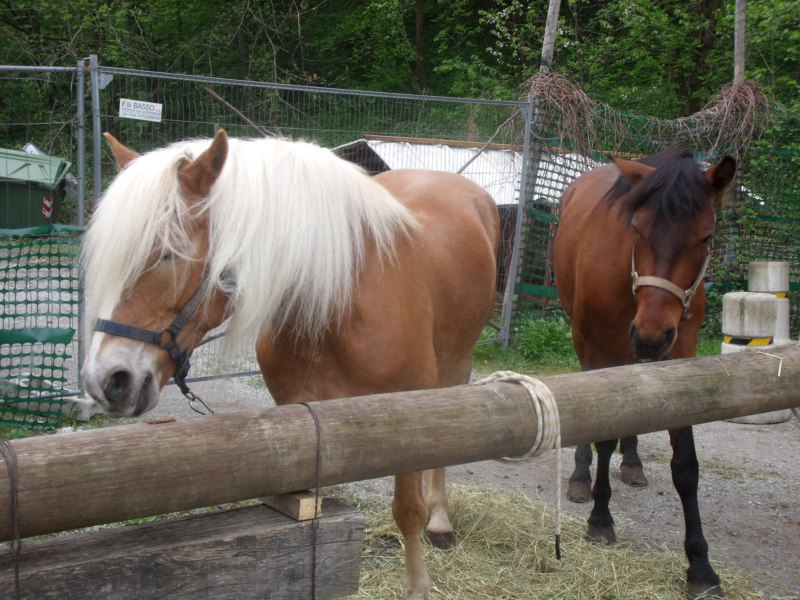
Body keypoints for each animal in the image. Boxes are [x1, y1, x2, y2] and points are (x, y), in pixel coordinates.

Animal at [78, 129, 496, 596]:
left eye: (170, 253)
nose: (107, 381)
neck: (339, 300)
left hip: (457, 361)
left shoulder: (406, 418)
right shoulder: (299, 420)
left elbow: (408, 510)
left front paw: (418, 584)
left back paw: (440, 519)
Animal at [552, 148, 736, 596]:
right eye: (636, 228)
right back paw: (581, 476)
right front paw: (600, 519)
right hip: (588, 340)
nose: (652, 335)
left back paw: (632, 462)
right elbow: (602, 438)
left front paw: (700, 566)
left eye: (706, 237)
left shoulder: (680, 360)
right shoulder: (601, 348)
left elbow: (685, 464)